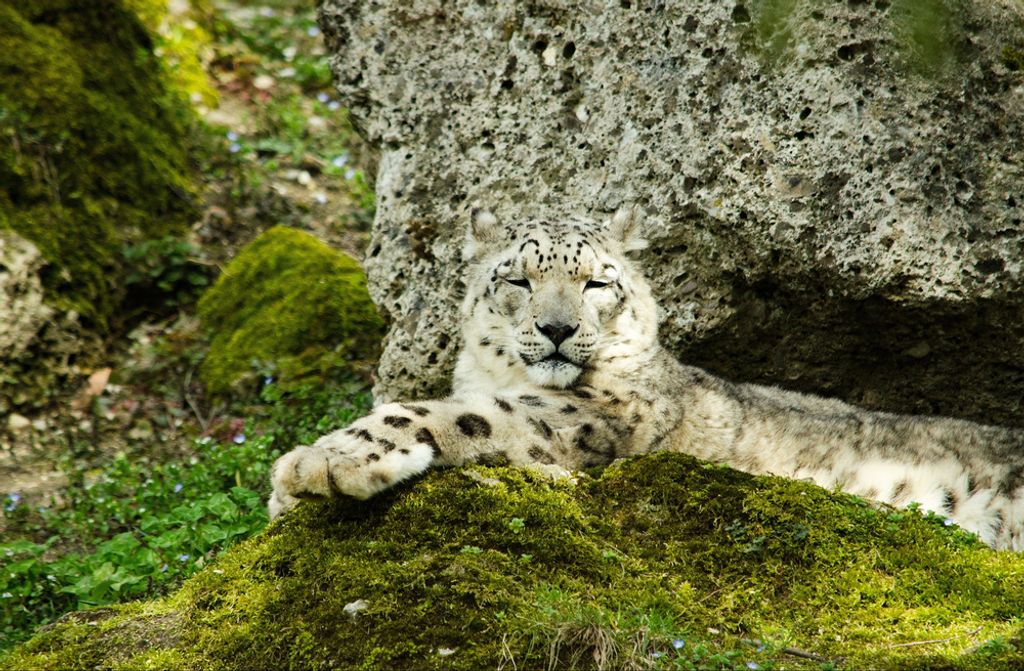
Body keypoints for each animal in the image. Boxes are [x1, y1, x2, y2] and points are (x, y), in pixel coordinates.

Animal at [269, 206, 1024, 550]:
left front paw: (317, 465)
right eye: (518, 279)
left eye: (596, 282)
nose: (557, 328)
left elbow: (439, 413)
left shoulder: (570, 420)